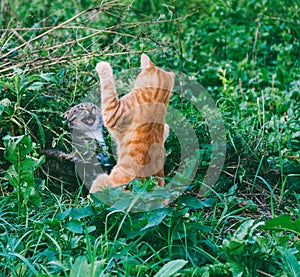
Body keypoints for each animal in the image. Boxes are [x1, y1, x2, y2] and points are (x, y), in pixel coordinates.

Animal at [89, 54, 173, 192]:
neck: (157, 98)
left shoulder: (113, 111)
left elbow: (108, 87)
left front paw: (103, 66)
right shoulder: (164, 128)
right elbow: (165, 130)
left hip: (101, 179)